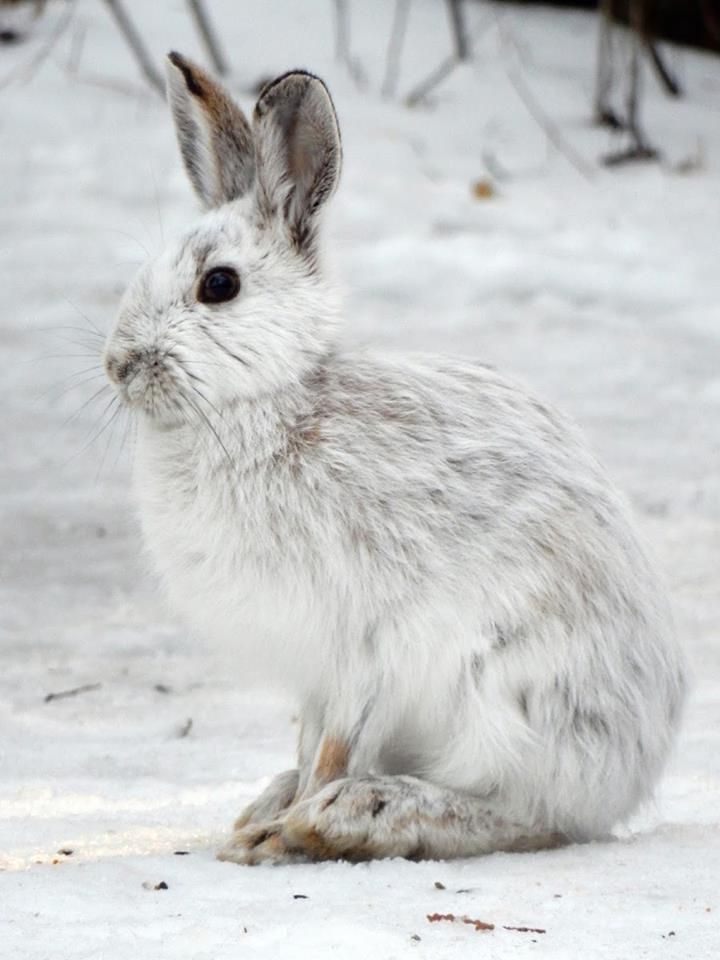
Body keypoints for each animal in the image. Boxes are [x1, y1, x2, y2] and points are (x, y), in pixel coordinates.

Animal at [102, 50, 688, 864]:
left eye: (218, 285)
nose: (117, 365)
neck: (262, 403)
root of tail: (636, 763)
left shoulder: (363, 643)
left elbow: (334, 745)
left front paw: (284, 835)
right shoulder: (316, 675)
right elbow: (309, 739)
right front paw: (264, 825)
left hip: (506, 693)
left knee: (525, 814)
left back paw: (358, 813)